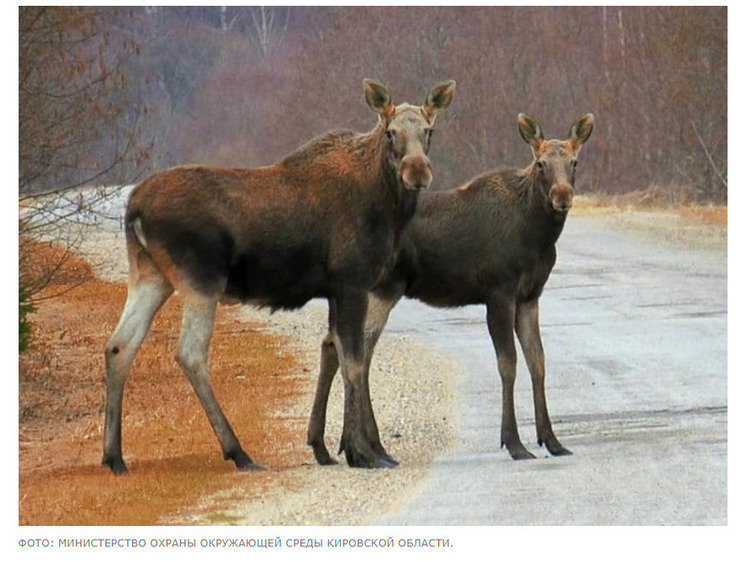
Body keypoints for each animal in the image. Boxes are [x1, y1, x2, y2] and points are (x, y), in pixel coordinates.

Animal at [103, 79, 456, 472]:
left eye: (429, 130)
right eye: (392, 132)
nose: (417, 173)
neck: (388, 208)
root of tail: (134, 208)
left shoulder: (337, 290)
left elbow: (338, 353)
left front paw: (332, 447)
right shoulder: (352, 282)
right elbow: (354, 360)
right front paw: (360, 451)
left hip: (150, 275)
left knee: (119, 345)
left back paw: (114, 456)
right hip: (200, 280)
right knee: (190, 353)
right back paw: (238, 451)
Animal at [306, 111, 592, 462]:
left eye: (574, 162)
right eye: (541, 163)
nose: (562, 196)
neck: (537, 236)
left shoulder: (530, 296)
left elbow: (537, 360)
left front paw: (551, 440)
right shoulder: (499, 292)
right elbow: (507, 363)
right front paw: (513, 442)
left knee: (336, 346)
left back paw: (331, 445)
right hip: (380, 290)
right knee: (352, 351)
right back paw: (362, 446)